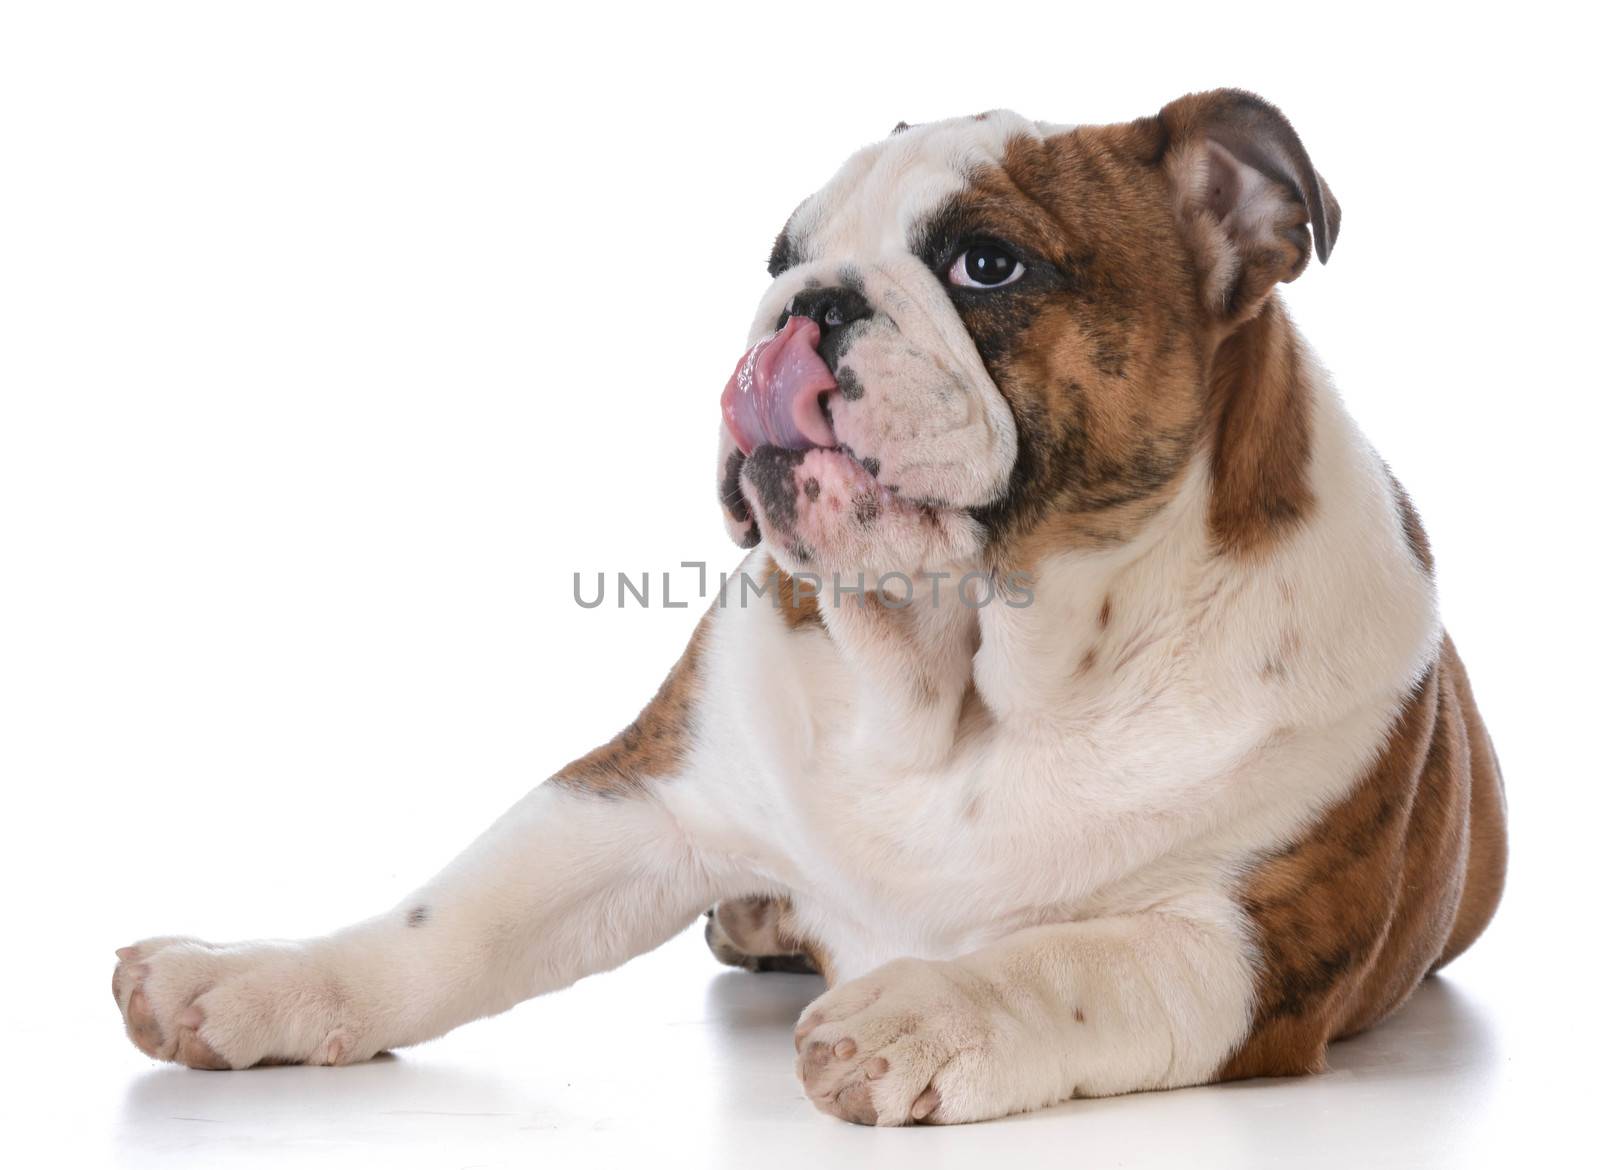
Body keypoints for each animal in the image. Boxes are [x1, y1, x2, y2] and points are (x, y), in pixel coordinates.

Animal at [116, 89, 1510, 1126]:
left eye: (985, 264)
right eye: (781, 256)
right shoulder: (643, 798)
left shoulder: (1250, 948)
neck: (974, 674)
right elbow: (447, 921)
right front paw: (252, 981)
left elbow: (1076, 960)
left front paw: (931, 1010)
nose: (809, 301)